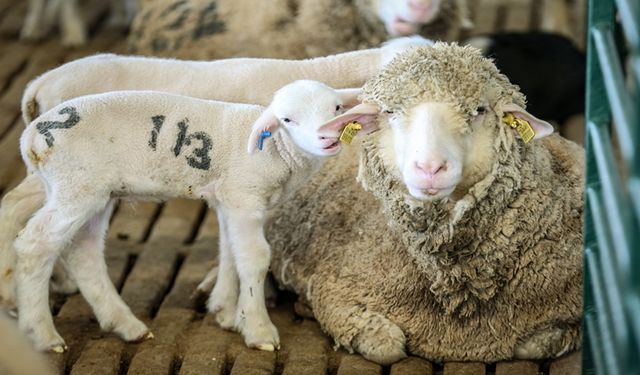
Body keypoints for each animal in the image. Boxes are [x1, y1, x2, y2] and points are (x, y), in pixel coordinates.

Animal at [15, 79, 378, 352]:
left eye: (337, 108)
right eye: (287, 120)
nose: (328, 137)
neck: (276, 150)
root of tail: (32, 135)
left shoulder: (227, 198)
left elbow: (230, 251)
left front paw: (227, 312)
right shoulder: (244, 197)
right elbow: (255, 258)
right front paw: (257, 328)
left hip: (96, 193)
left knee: (83, 252)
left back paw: (126, 324)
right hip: (75, 185)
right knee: (34, 245)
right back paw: (43, 334)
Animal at [264, 42, 584, 366]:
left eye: (480, 110)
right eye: (389, 112)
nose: (429, 168)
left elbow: (531, 346)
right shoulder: (335, 291)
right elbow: (387, 347)